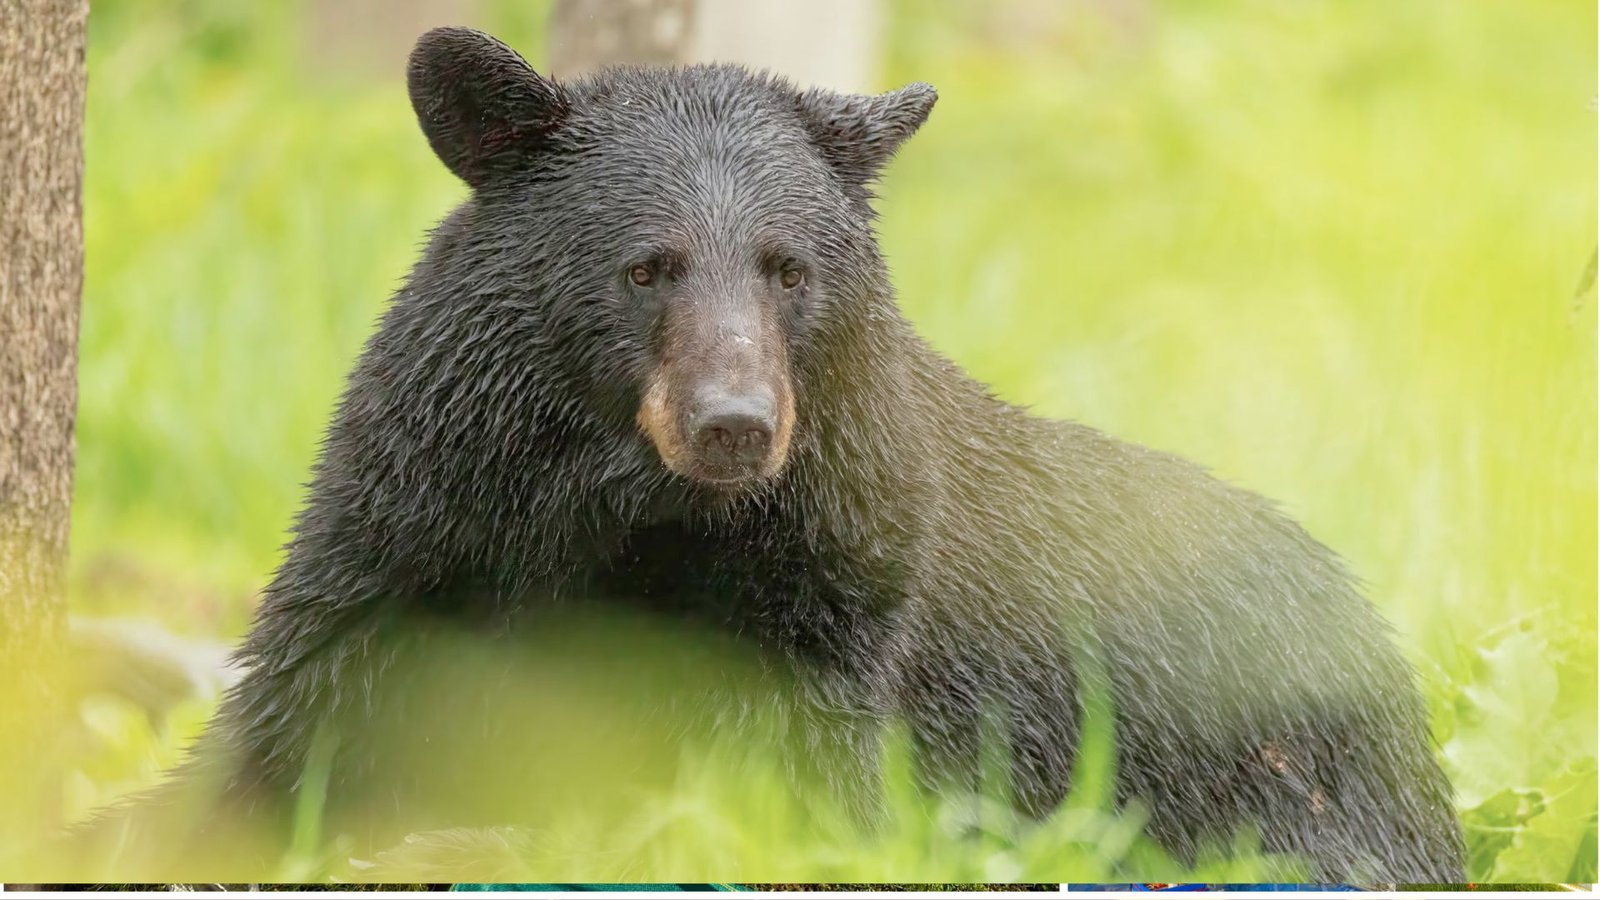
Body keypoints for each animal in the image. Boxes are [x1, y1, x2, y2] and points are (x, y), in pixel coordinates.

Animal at [72, 26, 1464, 883]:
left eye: (789, 268)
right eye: (648, 265)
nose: (735, 423)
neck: (611, 513)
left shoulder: (833, 608)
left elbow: (754, 785)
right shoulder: (412, 537)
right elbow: (279, 724)